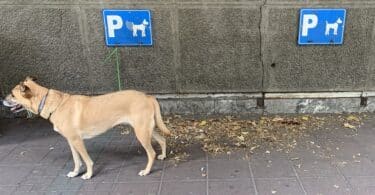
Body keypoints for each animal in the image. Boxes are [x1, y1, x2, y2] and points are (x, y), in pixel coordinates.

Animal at [2, 76, 170, 180]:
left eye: (12, 95)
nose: (1, 100)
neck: (53, 103)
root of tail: (148, 96)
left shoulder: (77, 141)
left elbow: (87, 161)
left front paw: (88, 175)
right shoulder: (71, 142)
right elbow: (77, 161)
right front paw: (75, 172)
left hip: (141, 133)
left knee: (151, 153)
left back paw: (147, 171)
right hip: (147, 130)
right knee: (162, 140)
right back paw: (163, 155)